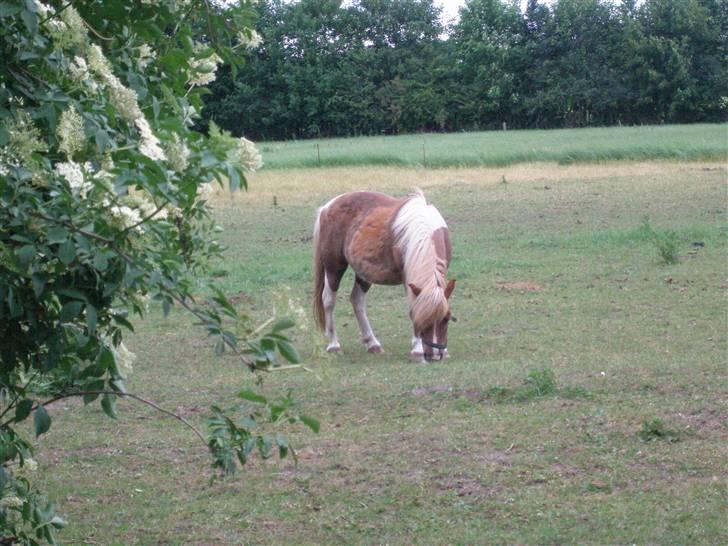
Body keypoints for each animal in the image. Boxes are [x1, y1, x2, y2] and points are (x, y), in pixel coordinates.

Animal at [312, 189, 456, 360]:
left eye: (446, 319)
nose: (434, 356)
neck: (423, 228)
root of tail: (327, 207)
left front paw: (444, 352)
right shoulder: (408, 279)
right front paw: (417, 349)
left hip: (364, 273)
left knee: (357, 300)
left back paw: (372, 343)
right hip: (334, 268)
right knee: (328, 300)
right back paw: (333, 345)